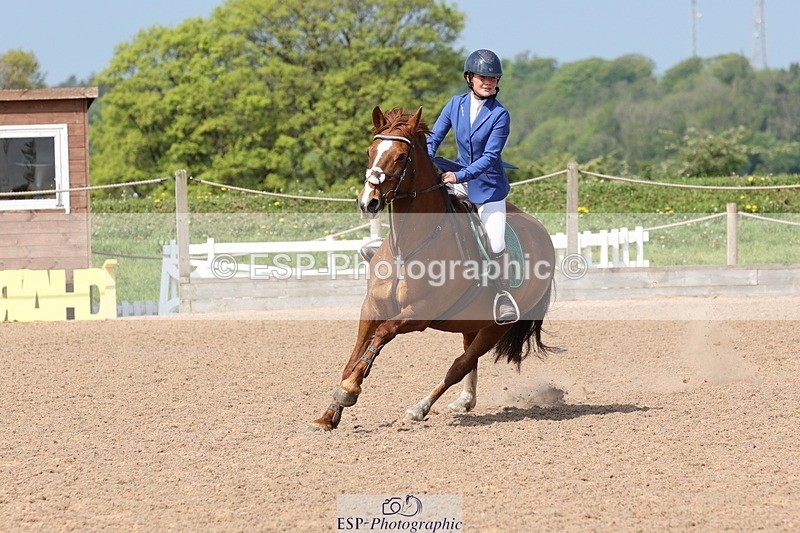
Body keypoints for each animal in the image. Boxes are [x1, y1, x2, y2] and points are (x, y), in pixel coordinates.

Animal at [311, 106, 555, 431]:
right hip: (472, 321)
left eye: (401, 156)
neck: (406, 248)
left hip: (496, 326)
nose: (368, 202)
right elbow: (353, 357)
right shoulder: (372, 307)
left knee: (459, 365)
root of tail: (543, 233)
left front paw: (349, 391)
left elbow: (380, 337)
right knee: (467, 358)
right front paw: (329, 414)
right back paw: (464, 401)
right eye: (370, 151)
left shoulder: (418, 313)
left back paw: (419, 408)